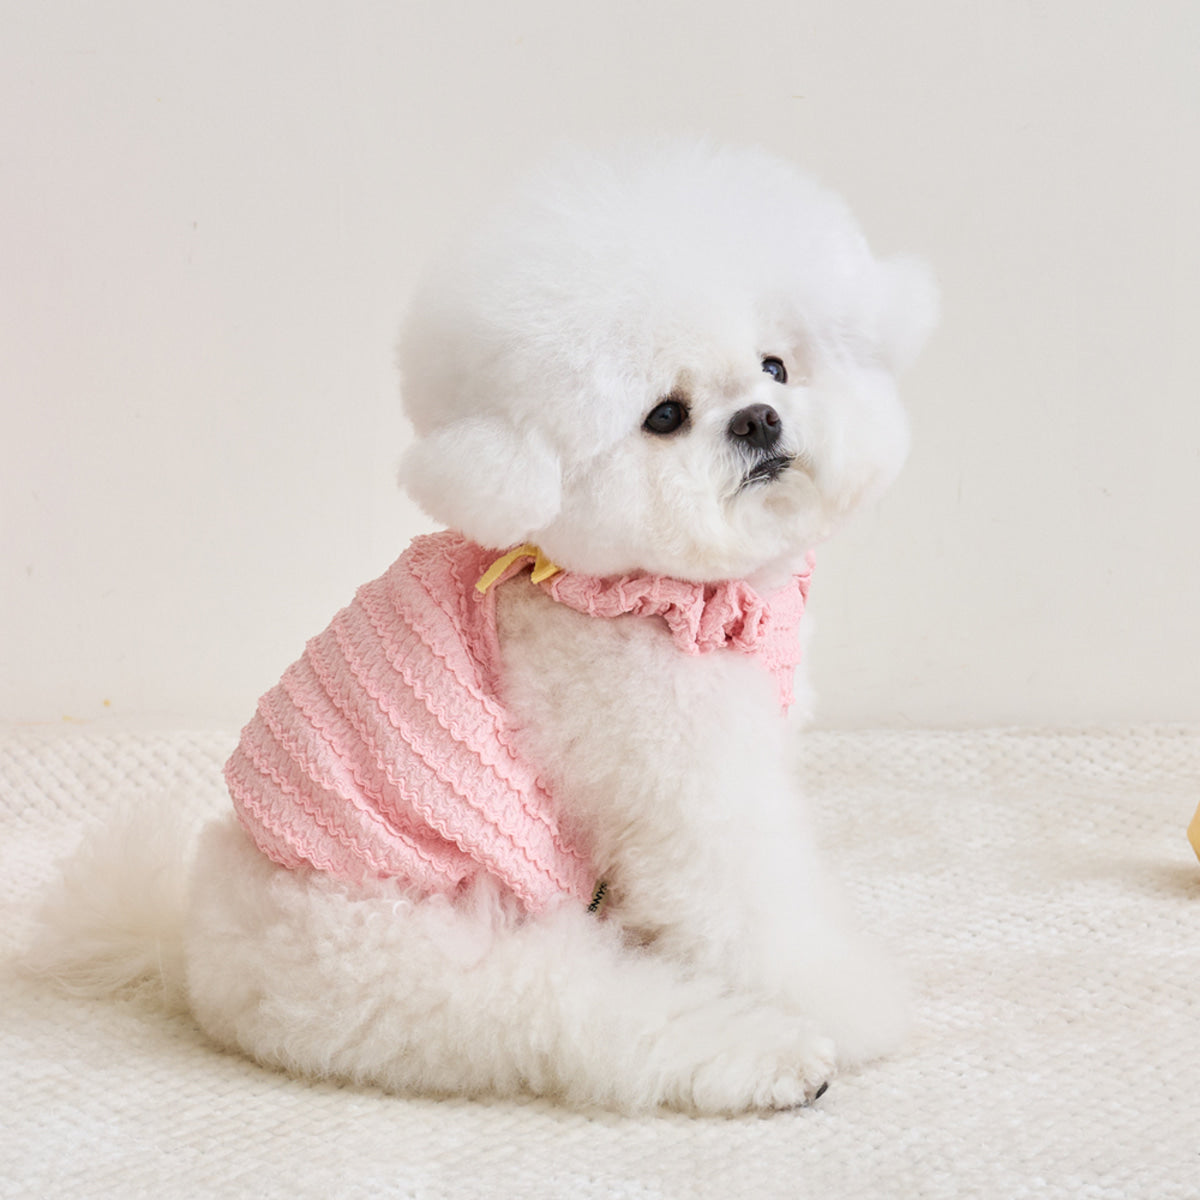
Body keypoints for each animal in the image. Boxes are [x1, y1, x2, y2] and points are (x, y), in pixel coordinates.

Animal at [32, 140, 936, 1113]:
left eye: (775, 367)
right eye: (664, 416)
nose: (759, 420)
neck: (660, 590)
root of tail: (195, 949)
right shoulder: (680, 781)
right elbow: (753, 910)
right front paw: (845, 1005)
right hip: (430, 958)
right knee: (588, 1013)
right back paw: (773, 1057)